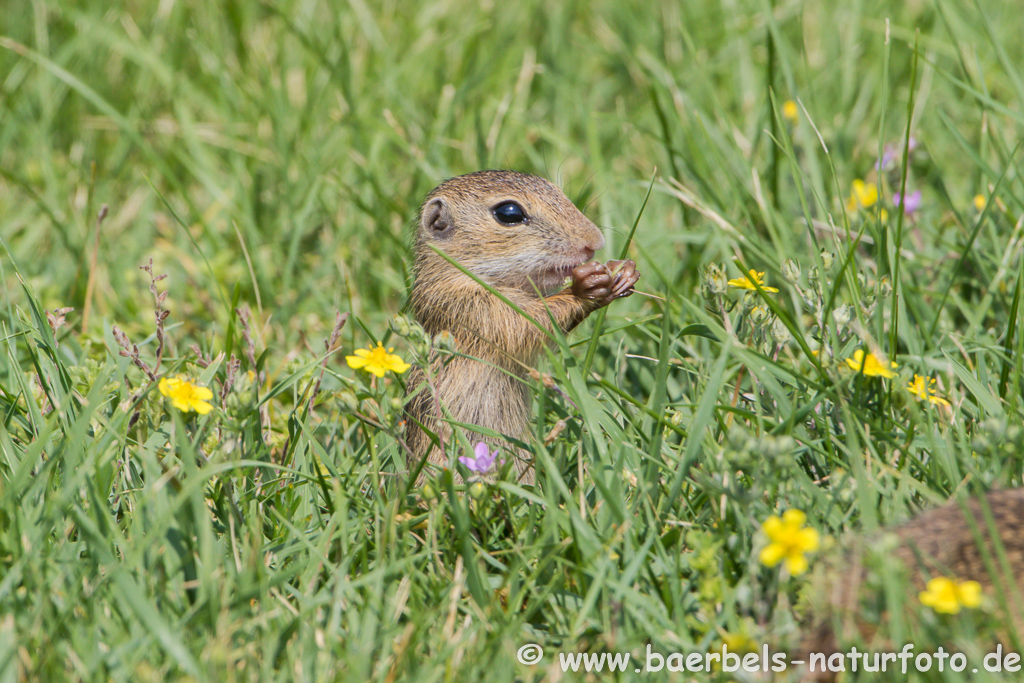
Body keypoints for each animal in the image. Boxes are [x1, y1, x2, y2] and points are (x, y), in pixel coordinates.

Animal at [401, 169, 634, 485]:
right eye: (509, 213)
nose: (594, 242)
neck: (460, 274)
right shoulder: (473, 310)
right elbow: (528, 324)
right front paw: (585, 287)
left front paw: (625, 272)